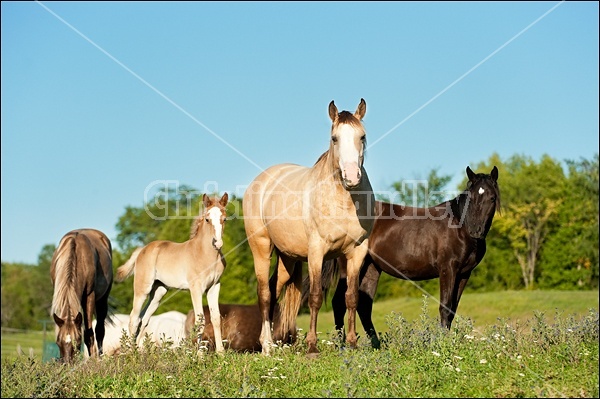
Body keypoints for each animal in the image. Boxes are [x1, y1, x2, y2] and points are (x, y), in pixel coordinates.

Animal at [50, 228, 113, 362]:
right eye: (58, 342)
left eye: (78, 342)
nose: (67, 364)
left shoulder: (89, 296)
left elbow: (89, 333)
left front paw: (93, 361)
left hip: (102, 300)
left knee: (99, 330)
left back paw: (99, 357)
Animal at [244, 99, 376, 356]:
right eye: (334, 138)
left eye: (362, 136)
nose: (352, 177)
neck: (344, 200)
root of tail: (261, 179)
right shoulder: (317, 251)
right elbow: (315, 297)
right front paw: (312, 347)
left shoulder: (357, 251)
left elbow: (351, 297)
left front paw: (352, 343)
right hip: (261, 249)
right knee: (264, 294)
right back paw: (267, 347)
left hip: (287, 259)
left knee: (274, 291)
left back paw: (271, 342)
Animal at [326, 167, 500, 348]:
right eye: (471, 197)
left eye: (492, 198)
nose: (476, 231)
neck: (460, 226)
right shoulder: (448, 270)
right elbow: (445, 307)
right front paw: (443, 344)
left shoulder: (464, 274)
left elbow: (453, 309)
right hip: (349, 268)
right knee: (339, 303)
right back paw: (342, 347)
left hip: (371, 268)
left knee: (364, 306)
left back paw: (376, 347)